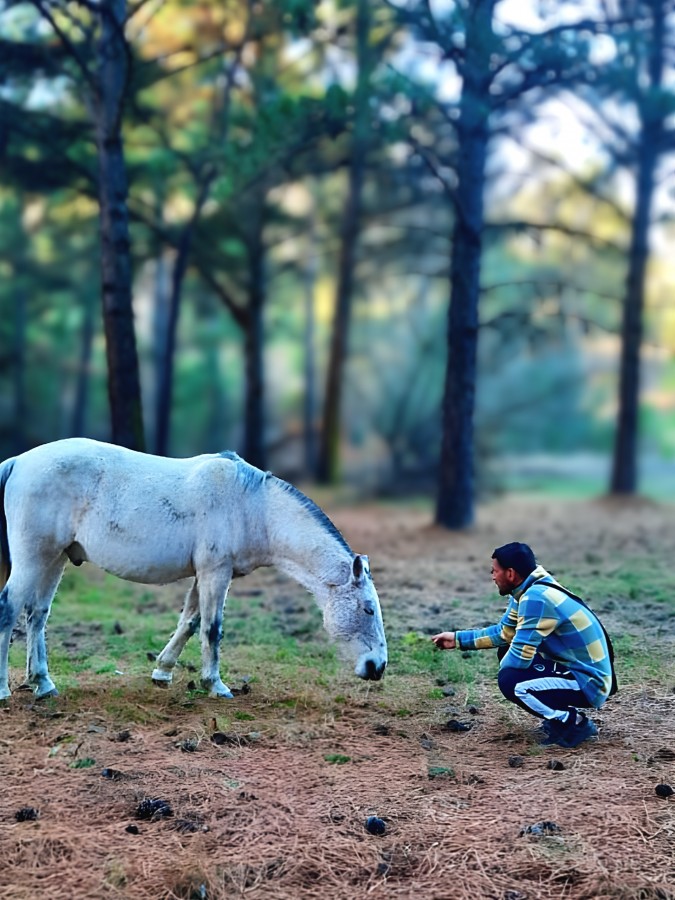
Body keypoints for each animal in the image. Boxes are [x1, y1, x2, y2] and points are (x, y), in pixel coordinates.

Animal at [0, 440, 388, 700]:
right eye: (368, 609)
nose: (378, 667)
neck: (253, 506)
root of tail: (19, 461)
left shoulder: (204, 575)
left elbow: (189, 622)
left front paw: (162, 671)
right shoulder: (216, 572)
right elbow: (212, 628)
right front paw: (215, 684)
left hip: (55, 559)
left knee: (36, 614)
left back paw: (43, 683)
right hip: (34, 558)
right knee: (9, 608)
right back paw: (4, 689)